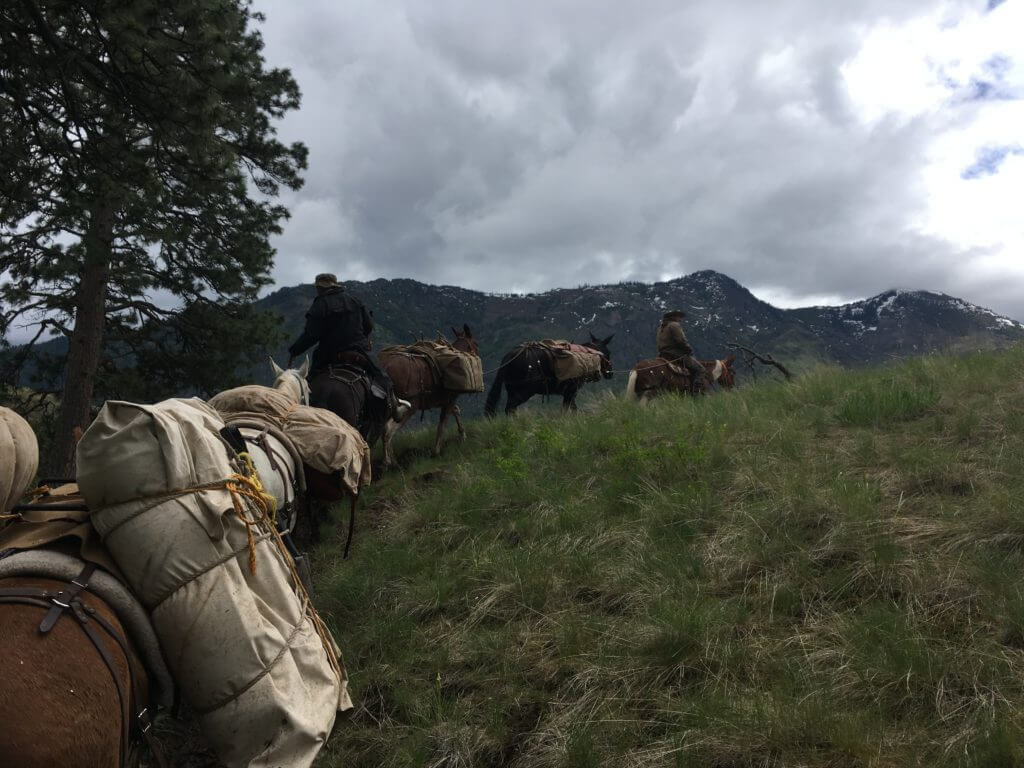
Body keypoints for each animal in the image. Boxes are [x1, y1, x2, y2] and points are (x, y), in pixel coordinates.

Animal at [381, 325, 481, 466]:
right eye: (475, 343)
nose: (476, 354)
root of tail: (386, 368)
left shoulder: (447, 400)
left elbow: (456, 411)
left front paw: (462, 435)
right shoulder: (450, 399)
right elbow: (442, 425)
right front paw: (437, 451)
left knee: (384, 429)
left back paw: (392, 460)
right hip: (409, 405)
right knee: (389, 429)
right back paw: (389, 461)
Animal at [484, 333, 614, 417]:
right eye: (608, 353)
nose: (611, 373)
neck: (586, 355)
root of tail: (509, 356)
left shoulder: (569, 393)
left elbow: (572, 408)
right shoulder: (571, 391)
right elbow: (568, 409)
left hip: (512, 390)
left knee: (511, 409)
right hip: (524, 392)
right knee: (510, 408)